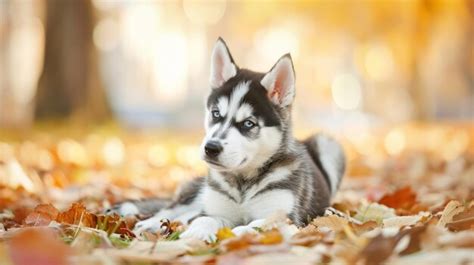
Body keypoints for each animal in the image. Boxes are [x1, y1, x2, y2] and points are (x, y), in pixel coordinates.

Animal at [114, 37, 344, 241]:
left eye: (249, 124)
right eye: (216, 113)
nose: (211, 148)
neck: (243, 183)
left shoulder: (286, 218)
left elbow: (253, 226)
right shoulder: (215, 210)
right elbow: (203, 219)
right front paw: (196, 233)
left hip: (329, 145)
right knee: (177, 208)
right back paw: (151, 222)